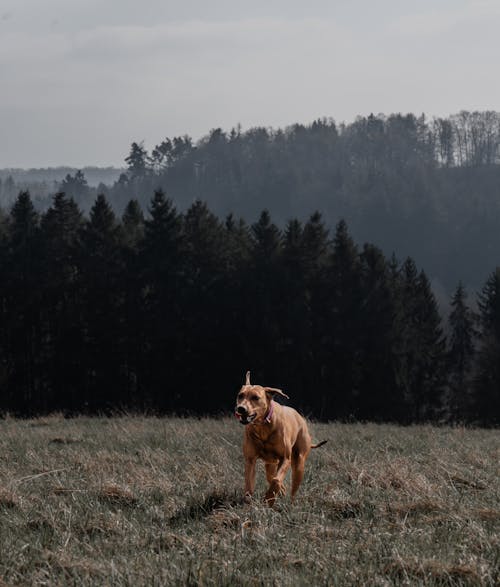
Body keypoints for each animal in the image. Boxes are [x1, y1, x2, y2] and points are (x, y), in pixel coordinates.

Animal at [235, 372, 328, 506]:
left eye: (255, 397)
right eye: (240, 395)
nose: (240, 408)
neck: (263, 427)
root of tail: (300, 418)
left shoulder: (285, 459)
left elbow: (276, 480)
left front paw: (268, 499)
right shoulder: (250, 460)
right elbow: (249, 484)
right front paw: (249, 502)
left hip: (299, 463)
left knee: (292, 488)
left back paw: (290, 503)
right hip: (270, 463)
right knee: (270, 475)